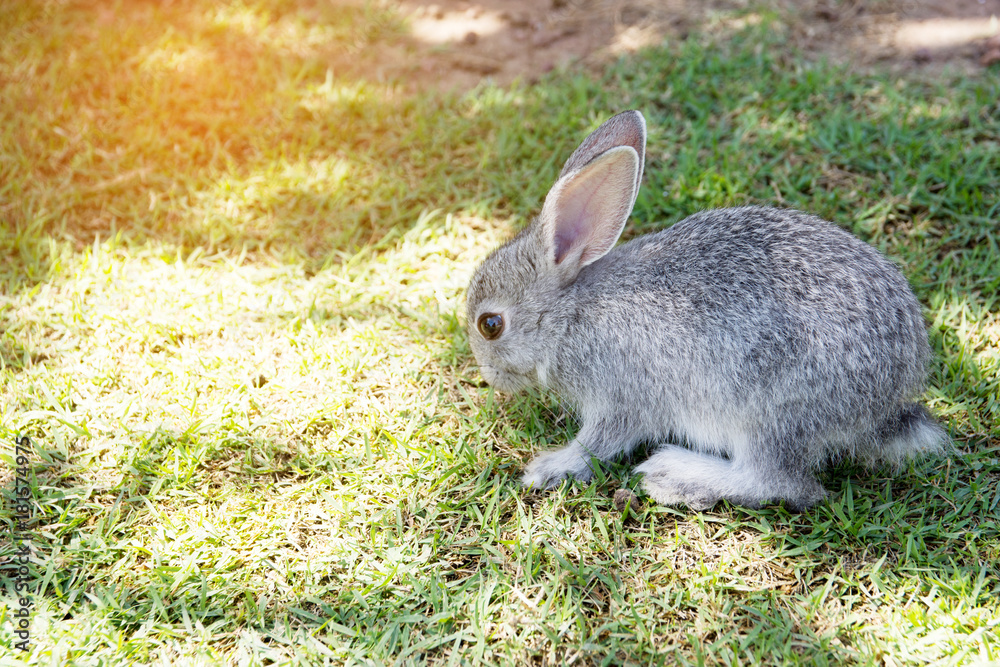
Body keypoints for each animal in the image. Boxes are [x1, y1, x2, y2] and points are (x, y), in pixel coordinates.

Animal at [465, 110, 947, 511]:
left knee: (781, 484)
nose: (490, 378)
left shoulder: (621, 394)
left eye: (491, 325)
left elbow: (598, 442)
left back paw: (675, 475)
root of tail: (888, 400)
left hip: (771, 411)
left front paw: (550, 468)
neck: (568, 315)